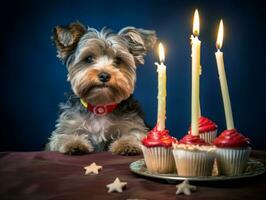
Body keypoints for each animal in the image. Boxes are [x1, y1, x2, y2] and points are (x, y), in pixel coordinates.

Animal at [46, 22, 157, 156]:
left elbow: (135, 134)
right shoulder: (66, 126)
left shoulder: (133, 123)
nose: (104, 75)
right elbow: (62, 136)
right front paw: (74, 143)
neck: (100, 105)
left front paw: (127, 144)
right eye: (89, 58)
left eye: (118, 60)